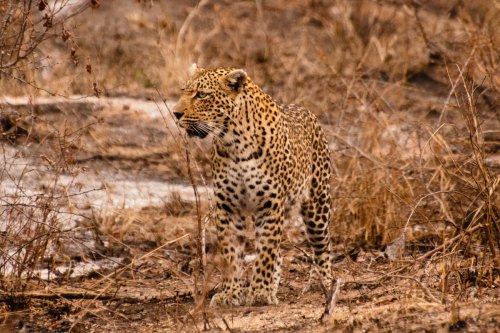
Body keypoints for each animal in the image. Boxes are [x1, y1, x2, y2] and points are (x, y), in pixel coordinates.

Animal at [172, 64, 332, 306]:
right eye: (184, 91)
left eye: (201, 95)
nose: (175, 113)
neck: (234, 141)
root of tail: (307, 111)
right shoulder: (228, 208)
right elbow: (230, 254)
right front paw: (230, 293)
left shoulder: (269, 205)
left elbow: (266, 251)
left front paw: (260, 293)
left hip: (317, 206)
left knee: (323, 245)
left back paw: (321, 282)